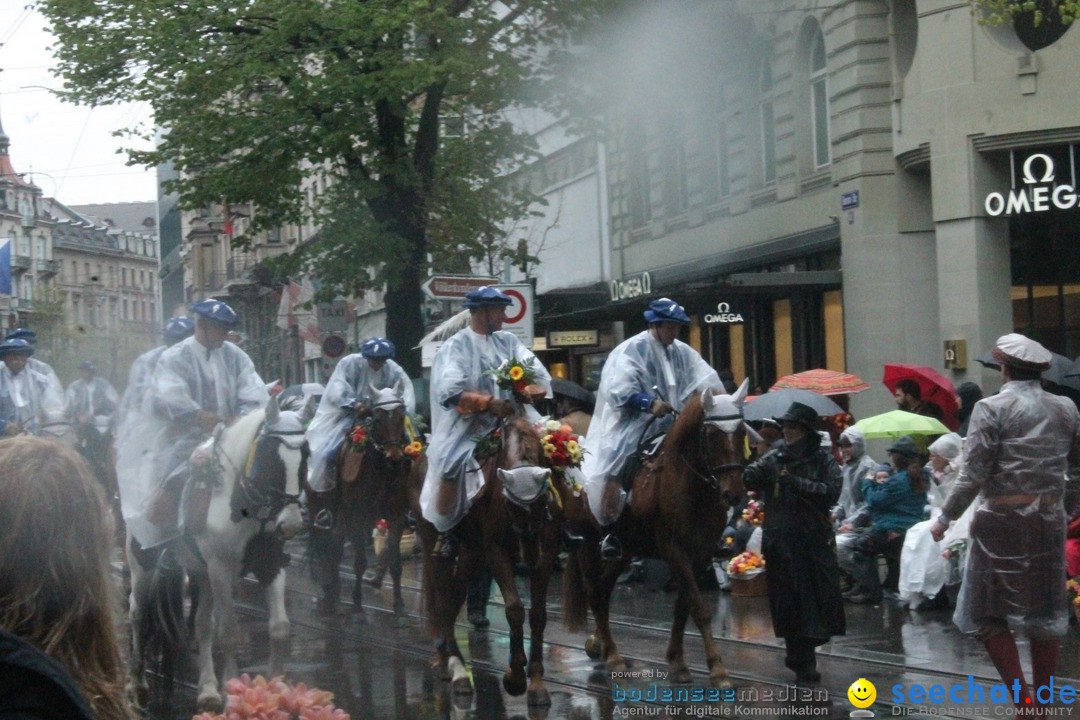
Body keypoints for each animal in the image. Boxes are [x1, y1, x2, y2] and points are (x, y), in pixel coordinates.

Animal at [126, 395, 315, 716]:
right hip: (144, 564)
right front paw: (233, 690)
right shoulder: (221, 569)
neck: (241, 504)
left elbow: (279, 628)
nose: (290, 524)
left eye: (305, 455)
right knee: (138, 612)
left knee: (202, 625)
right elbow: (228, 632)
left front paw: (275, 690)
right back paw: (137, 683)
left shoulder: (270, 565)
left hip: (201, 572)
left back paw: (207, 690)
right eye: (270, 455)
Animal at [306, 382, 419, 626]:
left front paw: (399, 609)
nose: (395, 457)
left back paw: (334, 591)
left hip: (341, 514)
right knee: (322, 544)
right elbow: (359, 562)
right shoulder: (359, 516)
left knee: (336, 545)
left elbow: (395, 563)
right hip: (317, 507)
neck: (382, 472)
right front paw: (357, 606)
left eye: (400, 415)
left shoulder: (397, 516)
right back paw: (327, 592)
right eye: (378, 417)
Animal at [414, 414, 565, 708]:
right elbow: (515, 609)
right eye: (510, 505)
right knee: (441, 599)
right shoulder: (496, 551)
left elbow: (538, 615)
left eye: (543, 502)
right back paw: (453, 668)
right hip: (432, 543)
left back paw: (453, 665)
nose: (526, 561)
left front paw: (537, 684)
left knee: (454, 597)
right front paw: (515, 679)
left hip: (471, 551)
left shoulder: (546, 555)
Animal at [557, 382, 751, 686]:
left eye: (742, 431)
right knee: (595, 592)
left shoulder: (700, 554)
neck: (692, 487)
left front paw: (678, 662)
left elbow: (684, 608)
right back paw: (613, 656)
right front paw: (718, 670)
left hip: (625, 551)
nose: (733, 493)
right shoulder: (674, 551)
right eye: (710, 435)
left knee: (604, 588)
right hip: (587, 544)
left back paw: (600, 646)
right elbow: (700, 609)